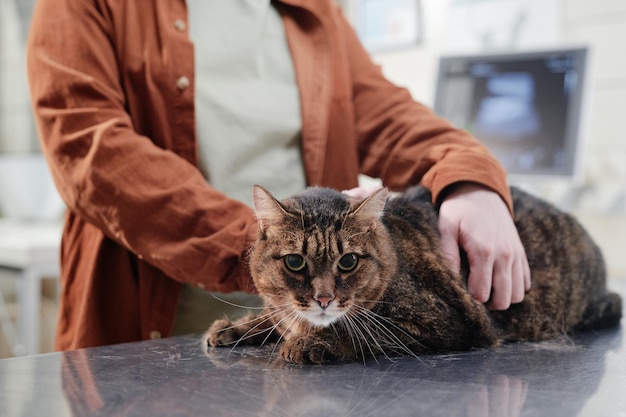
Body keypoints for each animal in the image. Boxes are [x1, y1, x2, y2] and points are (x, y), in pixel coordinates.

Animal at [204, 184, 620, 362]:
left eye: (348, 262)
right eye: (295, 262)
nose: (323, 298)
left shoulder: (449, 321)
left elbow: (362, 333)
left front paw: (311, 343)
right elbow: (271, 316)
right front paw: (235, 328)